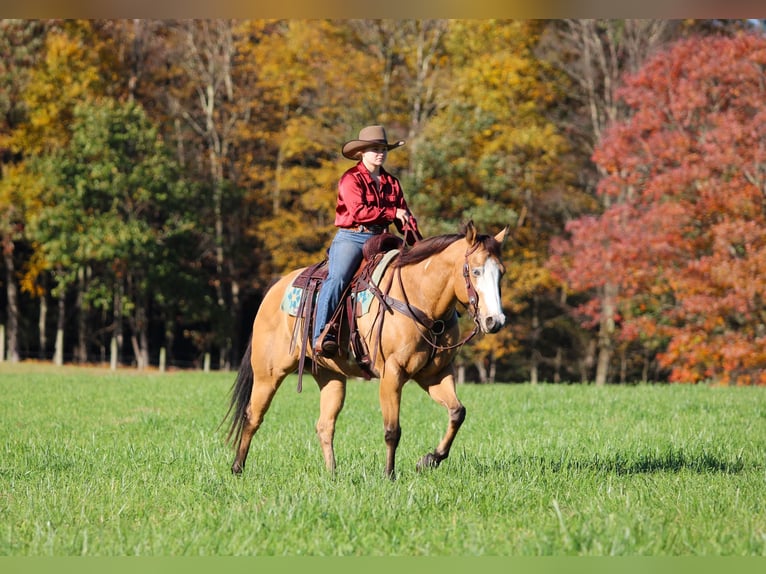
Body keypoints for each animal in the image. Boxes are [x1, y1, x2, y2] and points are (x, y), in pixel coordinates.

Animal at [224, 221, 508, 478]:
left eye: (501, 273)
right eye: (475, 271)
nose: (495, 321)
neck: (421, 298)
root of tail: (274, 289)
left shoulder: (435, 374)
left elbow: (457, 413)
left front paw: (429, 460)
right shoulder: (392, 374)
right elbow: (393, 430)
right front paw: (389, 475)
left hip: (331, 376)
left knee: (325, 425)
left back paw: (332, 475)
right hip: (268, 374)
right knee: (253, 416)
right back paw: (237, 468)